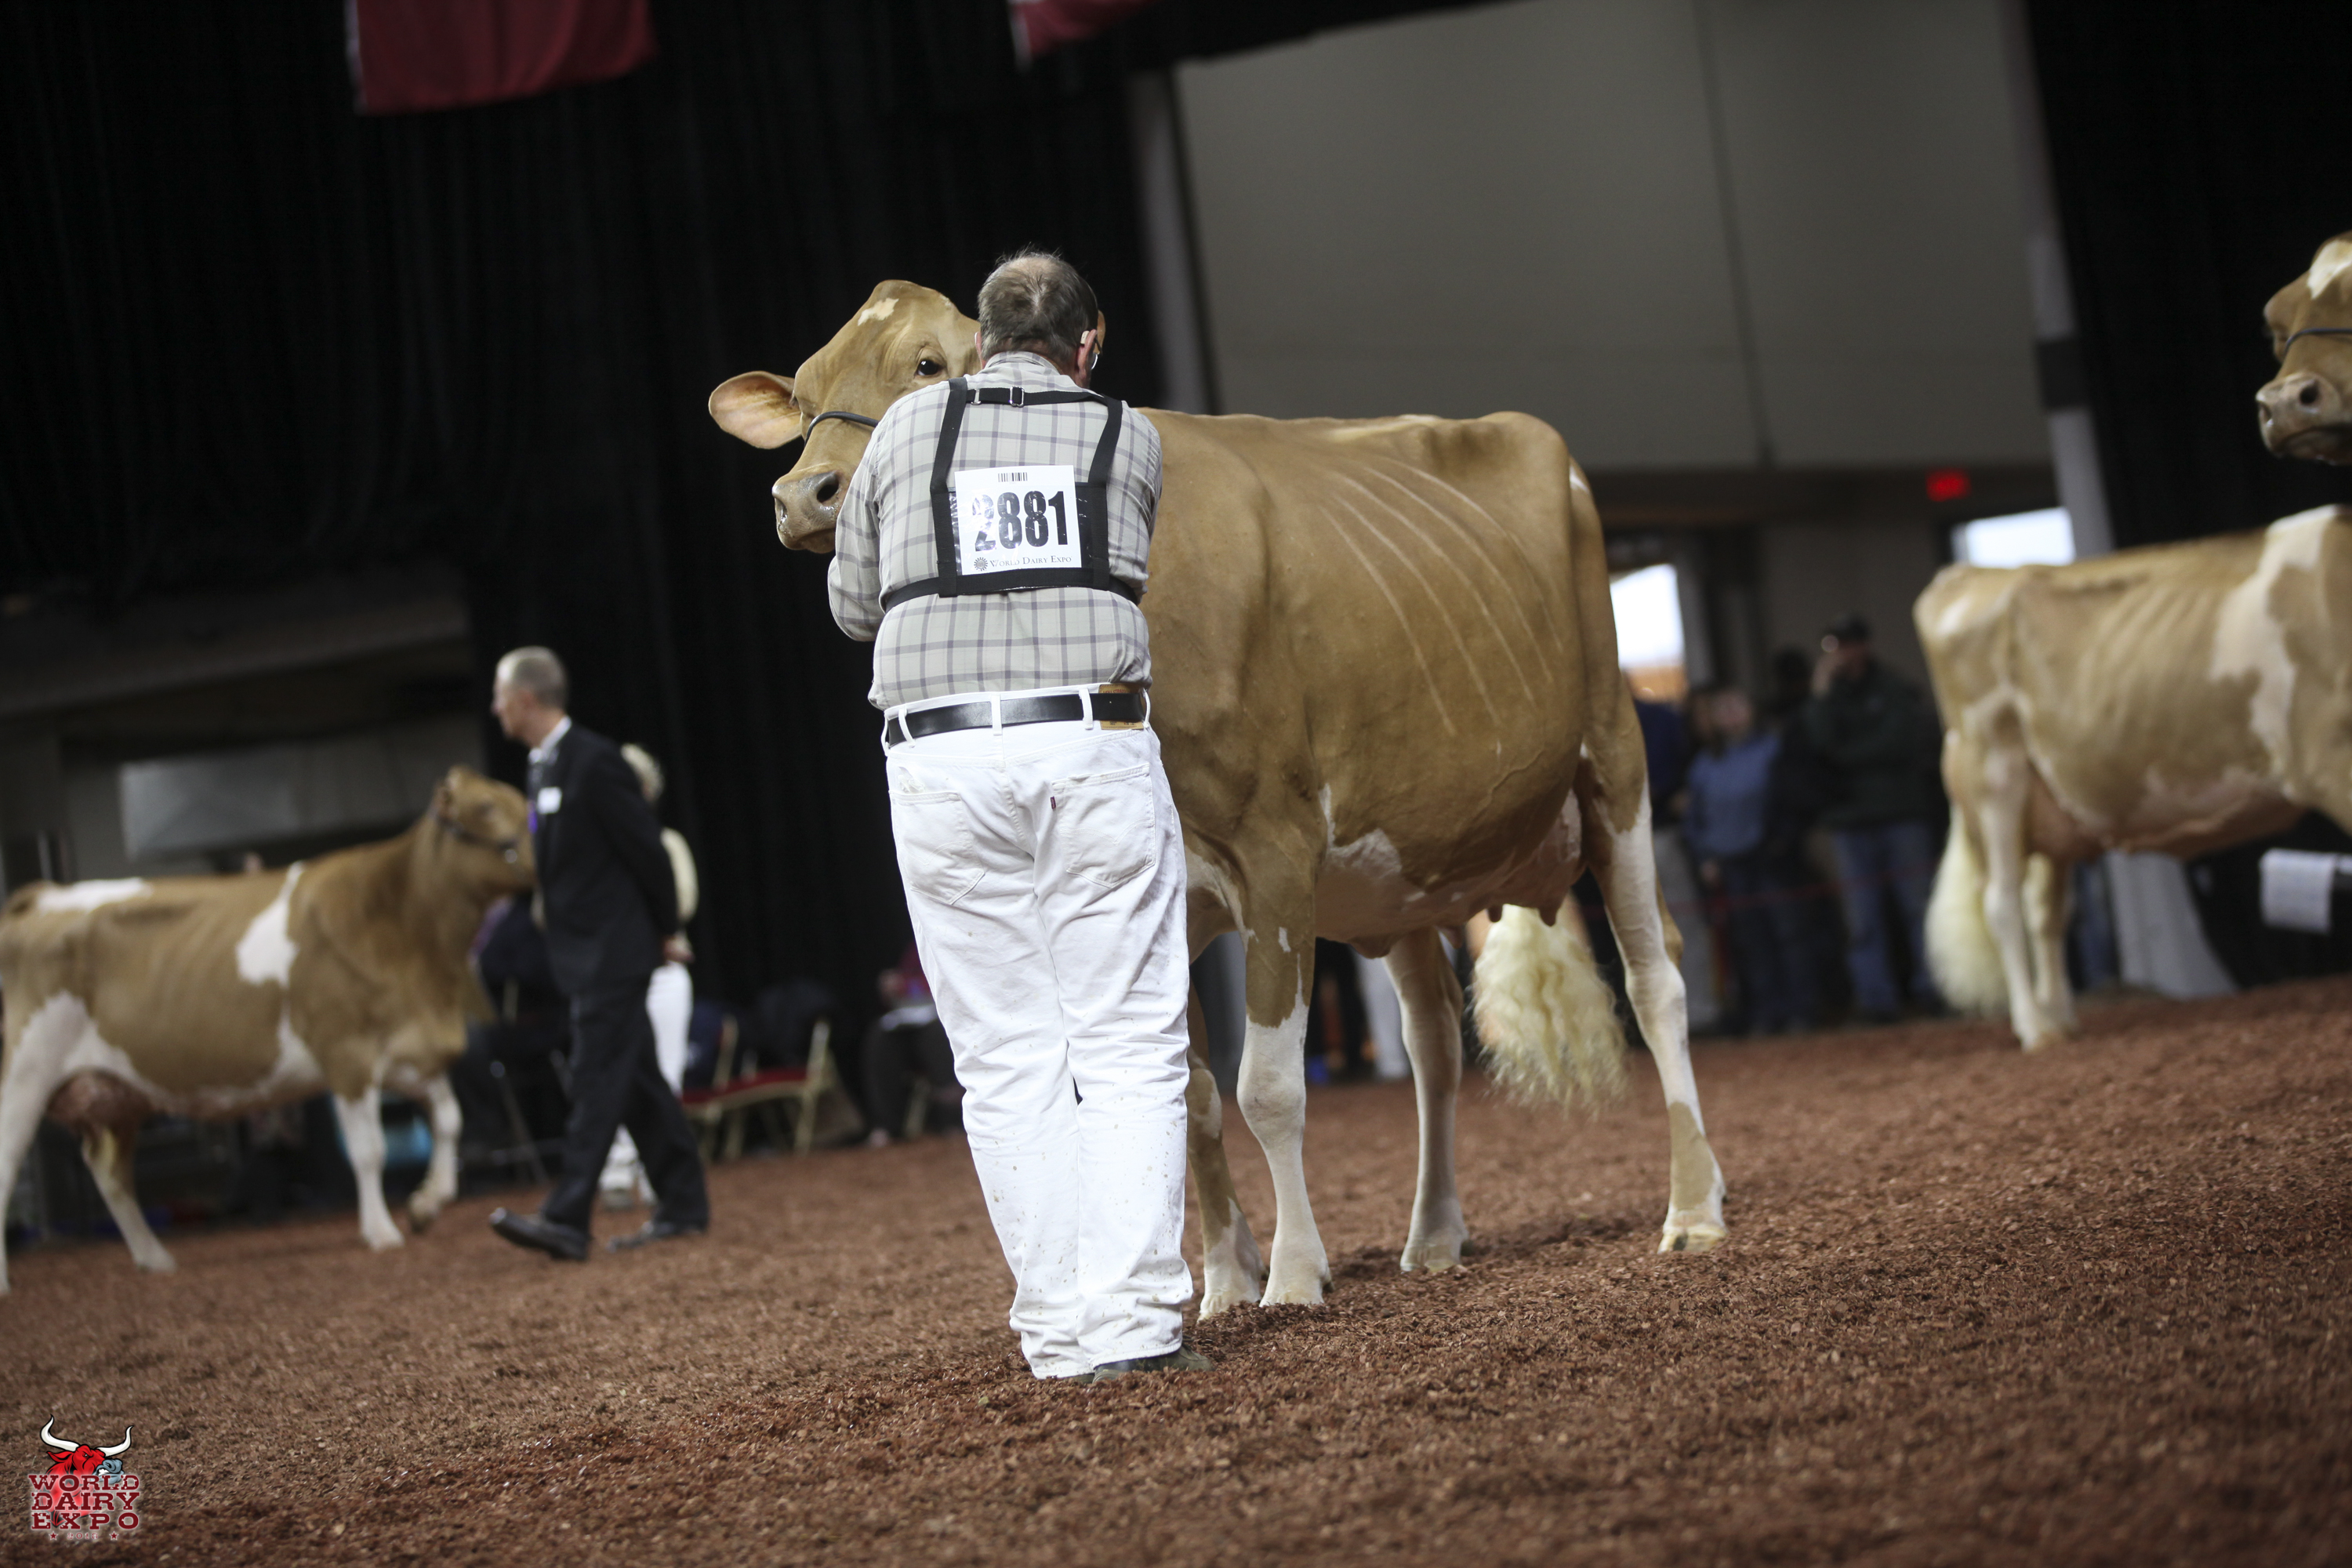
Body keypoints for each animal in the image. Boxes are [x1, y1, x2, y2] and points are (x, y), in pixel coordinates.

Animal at [0, 768, 533, 1292]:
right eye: (486, 807)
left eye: (520, 799)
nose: (533, 865)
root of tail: (40, 896)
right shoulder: (347, 1052)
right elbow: (369, 1151)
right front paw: (381, 1231)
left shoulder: (411, 1051)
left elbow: (449, 1119)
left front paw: (427, 1203)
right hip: (23, 1074)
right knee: (9, 1167)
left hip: (117, 1092)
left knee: (111, 1174)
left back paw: (155, 1258)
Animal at [709, 281, 1727, 1313]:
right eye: (804, 391)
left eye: (924, 364)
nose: (804, 496)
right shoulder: (1174, 894)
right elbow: (1188, 1093)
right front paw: (1228, 1279)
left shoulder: (1274, 851)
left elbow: (1266, 1085)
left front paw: (1294, 1273)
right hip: (1400, 868)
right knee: (1436, 1037)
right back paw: (1435, 1231)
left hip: (1615, 764)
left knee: (1658, 979)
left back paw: (1693, 1206)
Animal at [1917, 506, 2352, 1048]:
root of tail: (1971, 574)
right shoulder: (2329, 760)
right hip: (1993, 769)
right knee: (2002, 901)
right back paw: (2036, 1029)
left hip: (2049, 799)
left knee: (2047, 910)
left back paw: (2061, 1016)